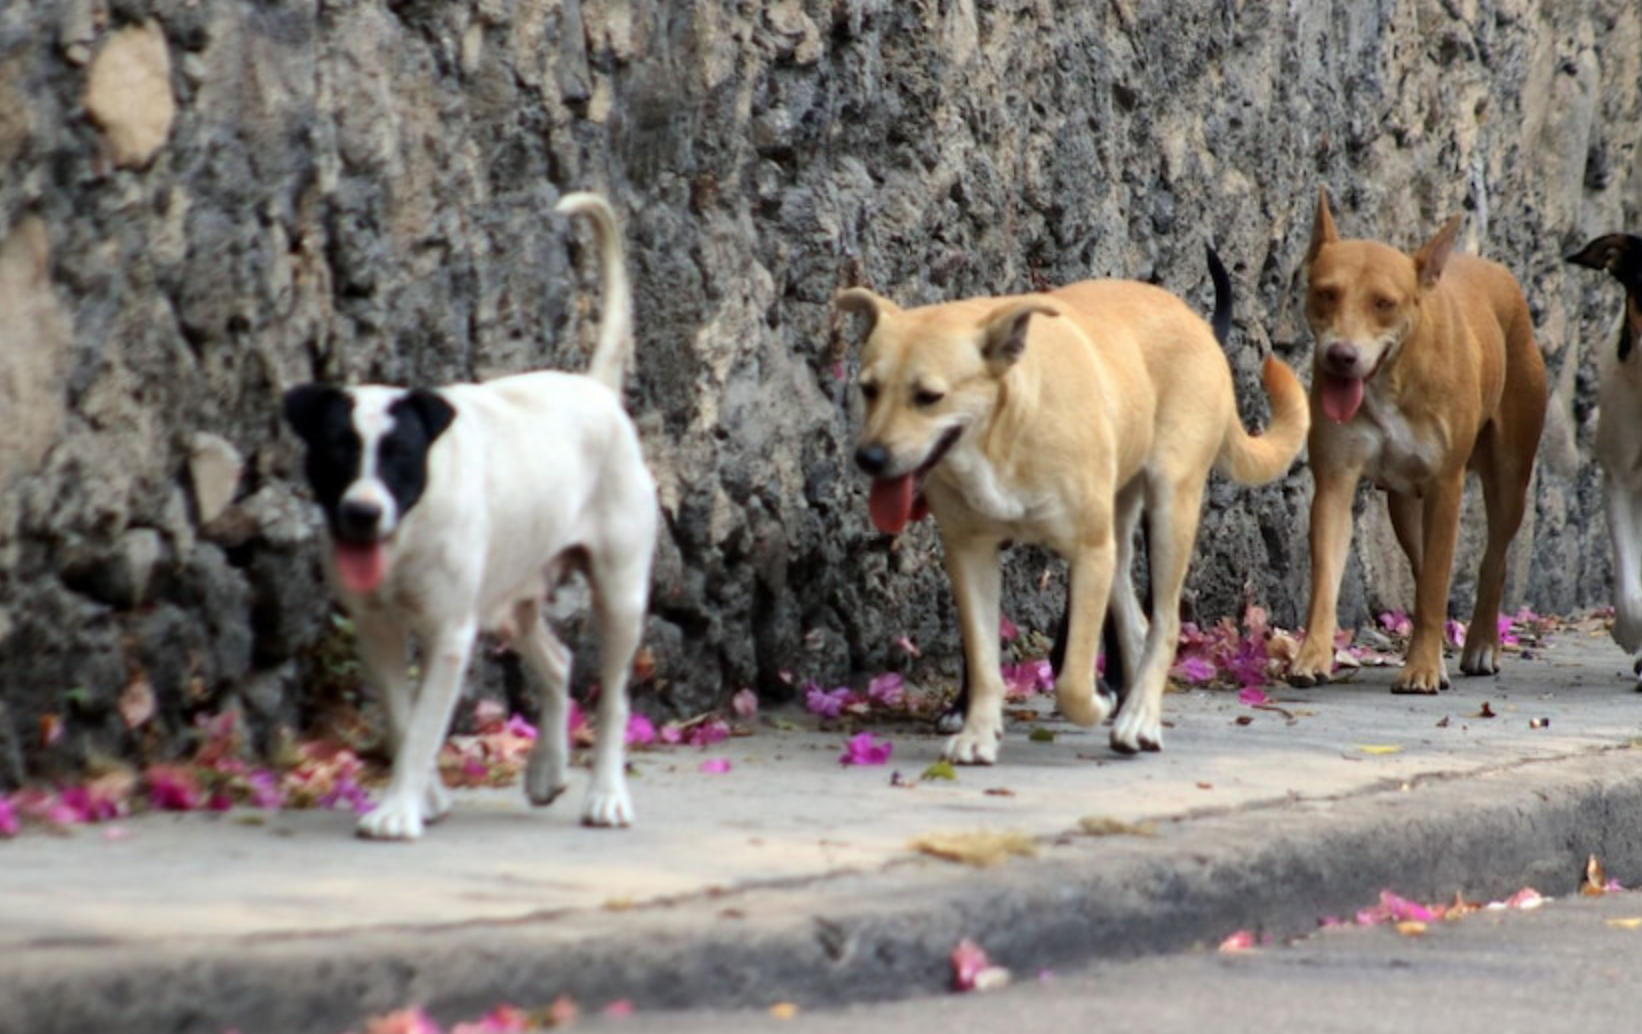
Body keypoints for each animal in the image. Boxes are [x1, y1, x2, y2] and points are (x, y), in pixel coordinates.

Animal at [282, 194, 653, 840]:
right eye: (337, 452)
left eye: (400, 456)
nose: (361, 512)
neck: (408, 532)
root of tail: (597, 391)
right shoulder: (376, 630)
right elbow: (404, 720)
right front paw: (424, 797)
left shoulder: (449, 634)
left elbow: (425, 726)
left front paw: (399, 809)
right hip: (509, 599)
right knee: (557, 663)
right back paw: (547, 767)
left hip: (619, 594)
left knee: (613, 699)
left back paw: (606, 794)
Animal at [834, 252, 1307, 761]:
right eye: (868, 389)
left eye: (929, 397)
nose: (869, 457)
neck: (1005, 427)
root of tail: (1195, 322)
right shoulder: (971, 552)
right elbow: (983, 659)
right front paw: (977, 731)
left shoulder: (1088, 551)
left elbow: (1073, 679)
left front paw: (1093, 702)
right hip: (1118, 523)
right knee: (1135, 619)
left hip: (1168, 509)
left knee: (1164, 622)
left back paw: (1138, 717)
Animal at [1287, 194, 1543, 695]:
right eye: (1327, 292)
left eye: (1384, 304)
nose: (1341, 356)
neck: (1391, 377)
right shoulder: (1335, 483)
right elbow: (1327, 577)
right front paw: (1312, 656)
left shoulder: (1447, 486)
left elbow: (1439, 583)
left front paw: (1422, 668)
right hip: (1404, 504)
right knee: (1423, 564)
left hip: (1509, 477)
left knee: (1494, 557)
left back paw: (1481, 644)